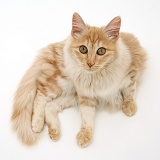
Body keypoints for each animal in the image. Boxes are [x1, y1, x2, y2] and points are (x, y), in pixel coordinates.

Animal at [10, 12, 146, 148]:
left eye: (101, 51)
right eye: (83, 49)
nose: (90, 63)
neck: (99, 76)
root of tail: (56, 46)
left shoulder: (130, 74)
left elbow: (130, 92)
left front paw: (129, 107)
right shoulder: (86, 96)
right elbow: (87, 118)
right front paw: (85, 135)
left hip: (72, 94)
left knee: (50, 106)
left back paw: (54, 131)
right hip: (60, 82)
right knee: (40, 95)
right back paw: (37, 124)